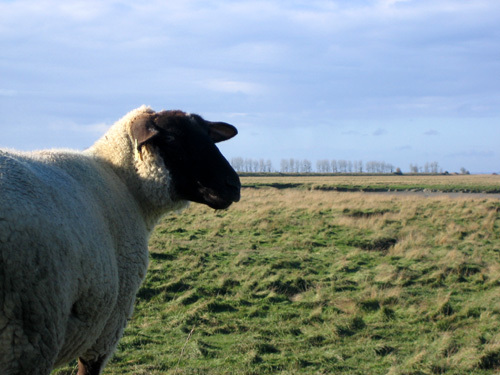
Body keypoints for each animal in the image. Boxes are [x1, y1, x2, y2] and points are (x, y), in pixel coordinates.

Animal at [0, 106, 240, 375]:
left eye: (208, 135)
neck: (124, 183)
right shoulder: (109, 324)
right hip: (26, 333)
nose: (234, 185)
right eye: (170, 138)